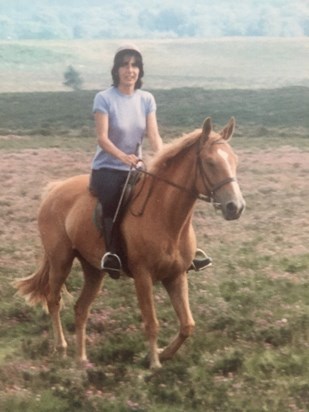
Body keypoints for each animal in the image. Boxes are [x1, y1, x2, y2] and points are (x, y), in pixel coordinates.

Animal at [13, 116, 245, 370]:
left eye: (234, 160)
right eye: (210, 162)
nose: (235, 207)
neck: (165, 217)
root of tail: (54, 189)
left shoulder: (176, 276)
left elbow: (187, 325)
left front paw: (163, 353)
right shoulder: (143, 276)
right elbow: (151, 322)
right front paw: (154, 364)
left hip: (93, 269)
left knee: (81, 308)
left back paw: (81, 359)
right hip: (60, 260)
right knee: (54, 300)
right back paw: (62, 348)